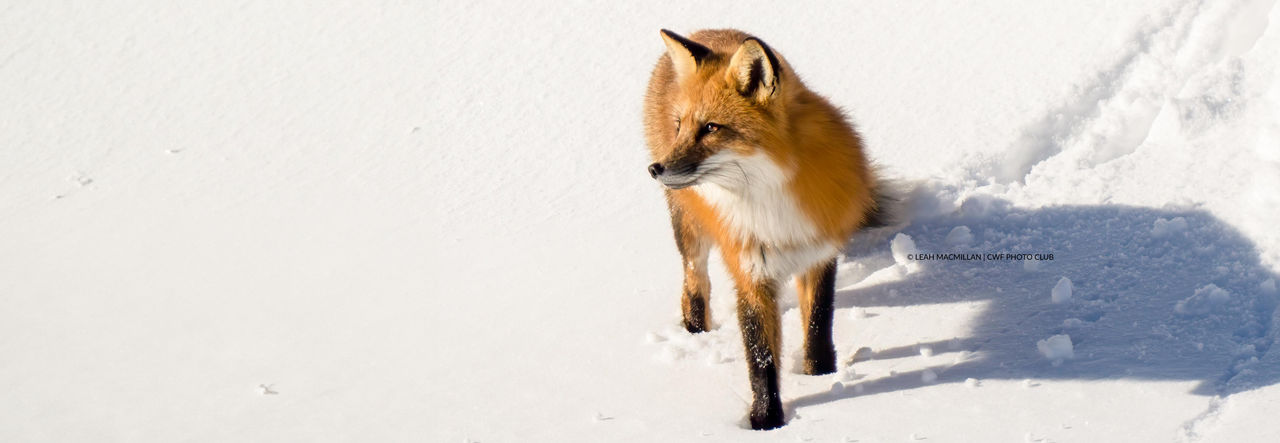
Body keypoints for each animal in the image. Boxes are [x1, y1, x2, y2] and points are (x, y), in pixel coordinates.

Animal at [643, 29, 889, 430]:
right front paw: (766, 420)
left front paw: (820, 374)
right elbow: (760, 356)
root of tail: (703, 31)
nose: (655, 169)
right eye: (680, 126)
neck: (771, 201)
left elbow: (819, 322)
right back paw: (695, 330)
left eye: (711, 127)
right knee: (695, 279)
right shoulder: (750, 272)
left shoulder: (819, 252)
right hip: (688, 226)